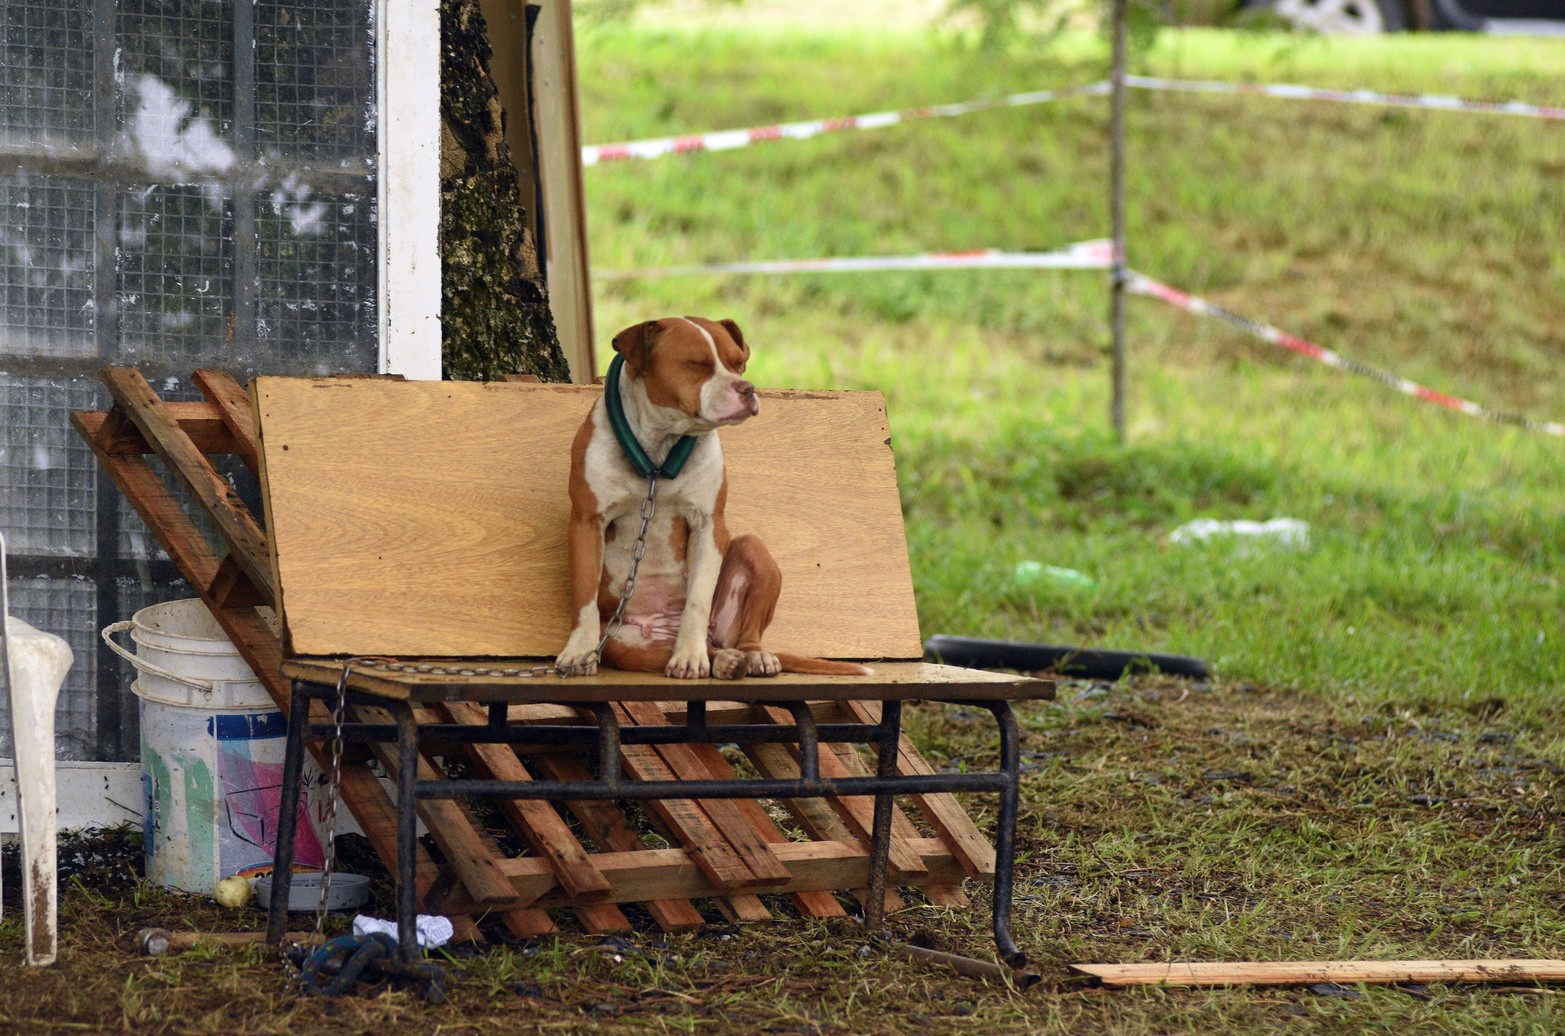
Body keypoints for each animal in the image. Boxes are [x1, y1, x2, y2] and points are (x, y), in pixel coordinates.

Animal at [554, 314, 870, 682]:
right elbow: (584, 598)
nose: (747, 388)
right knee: (668, 651)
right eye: (698, 364)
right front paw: (578, 652)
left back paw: (748, 656)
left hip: (752, 552)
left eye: (739, 363)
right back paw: (724, 661)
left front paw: (690, 657)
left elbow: (697, 600)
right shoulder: (587, 522)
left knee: (741, 634)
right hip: (623, 642)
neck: (659, 449)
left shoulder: (708, 525)